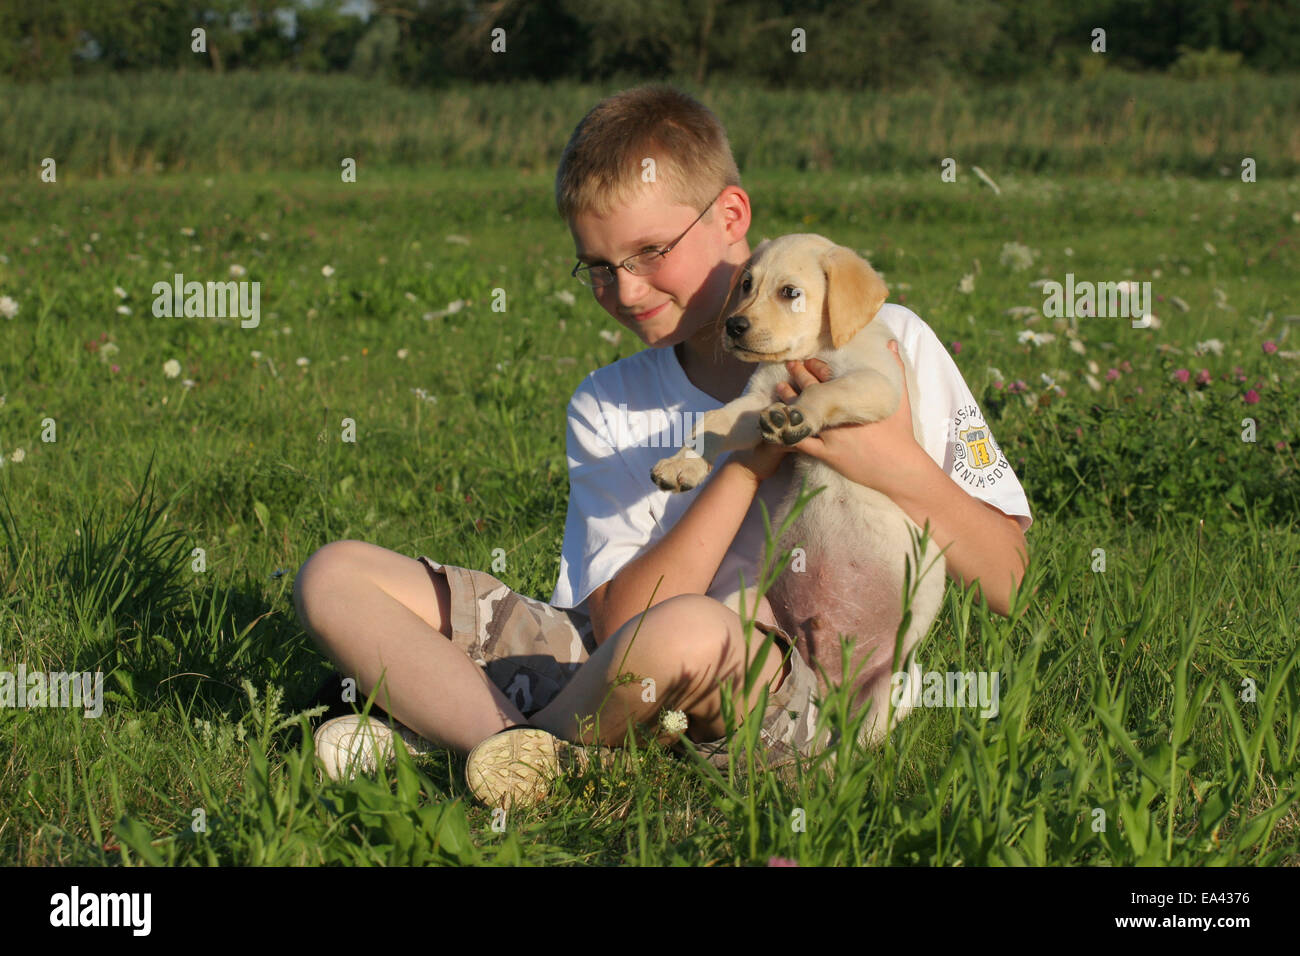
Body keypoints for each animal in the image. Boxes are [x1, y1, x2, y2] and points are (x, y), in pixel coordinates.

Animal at [650, 231, 946, 749]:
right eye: (745, 284)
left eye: (790, 293)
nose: (734, 326)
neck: (815, 348)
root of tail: (830, 680)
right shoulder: (755, 400)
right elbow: (711, 424)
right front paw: (681, 466)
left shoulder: (876, 383)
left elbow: (827, 392)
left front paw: (799, 415)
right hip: (745, 612)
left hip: (895, 684)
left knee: (857, 746)